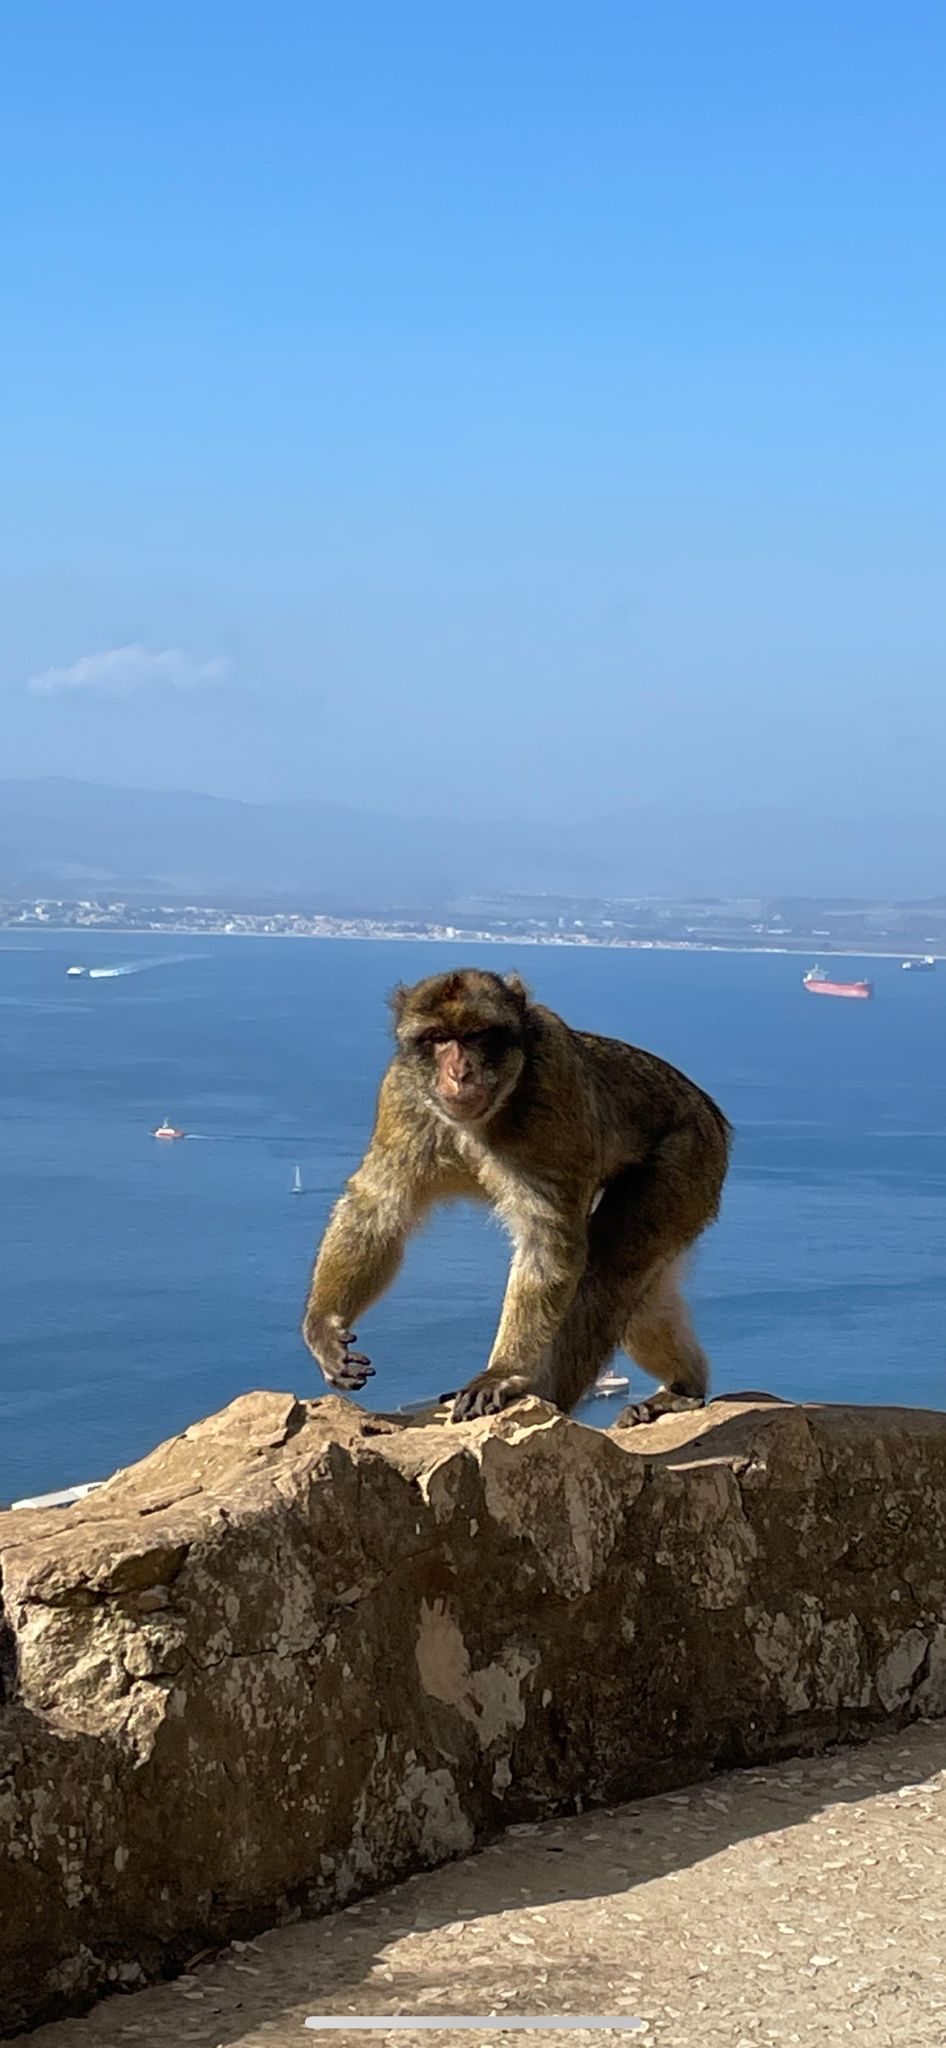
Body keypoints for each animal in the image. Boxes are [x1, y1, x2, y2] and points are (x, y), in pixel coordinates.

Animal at [302, 967, 730, 1425]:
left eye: (476, 1035)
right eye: (437, 1038)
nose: (459, 1073)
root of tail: (713, 1116)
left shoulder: (553, 1091)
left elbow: (547, 1239)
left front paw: (503, 1373)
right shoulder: (402, 1095)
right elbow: (379, 1206)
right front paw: (324, 1326)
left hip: (687, 1161)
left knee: (608, 1268)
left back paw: (553, 1394)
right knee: (644, 1300)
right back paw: (686, 1385)